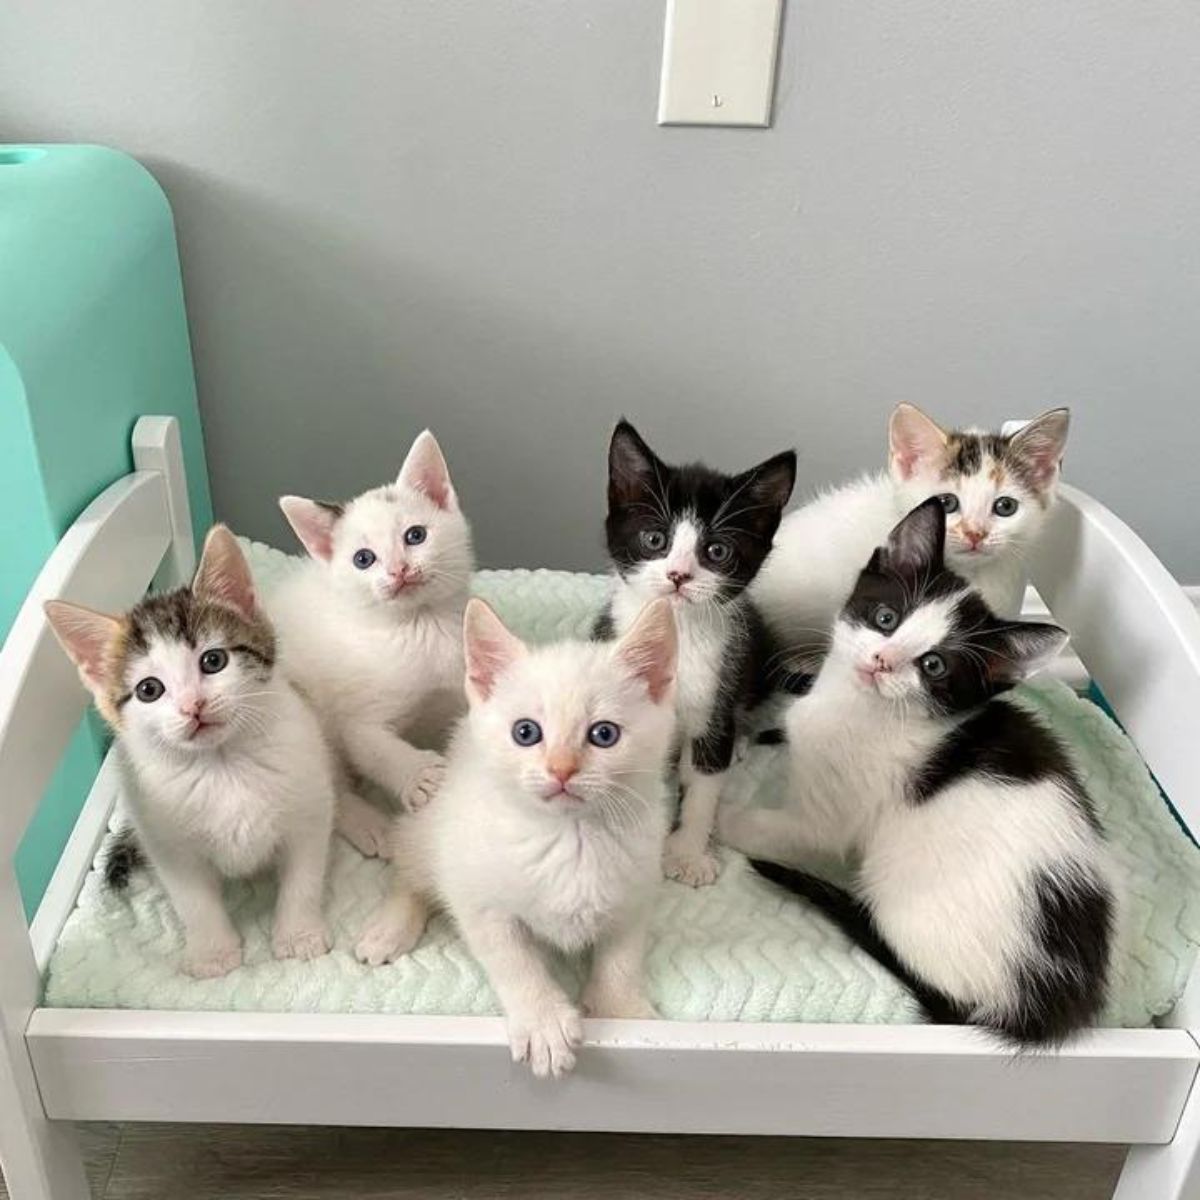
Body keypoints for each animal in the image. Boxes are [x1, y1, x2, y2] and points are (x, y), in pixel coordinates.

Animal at [44, 530, 336, 979]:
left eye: (213, 661)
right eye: (149, 689)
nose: (192, 706)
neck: (222, 764)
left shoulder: (308, 808)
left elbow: (303, 877)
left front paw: (298, 935)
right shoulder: (167, 841)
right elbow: (194, 901)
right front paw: (213, 953)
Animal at [271, 429, 472, 854]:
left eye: (416, 536)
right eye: (363, 559)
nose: (399, 570)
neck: (421, 627)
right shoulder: (356, 720)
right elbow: (376, 747)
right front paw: (421, 776)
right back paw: (368, 823)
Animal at [592, 417, 796, 888]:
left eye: (716, 551)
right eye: (655, 539)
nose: (679, 575)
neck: (676, 635)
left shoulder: (717, 689)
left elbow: (704, 783)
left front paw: (687, 853)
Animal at [715, 496, 1118, 1041]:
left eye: (934, 665)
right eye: (886, 617)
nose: (882, 660)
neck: (861, 708)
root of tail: (1037, 1010)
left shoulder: (825, 820)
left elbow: (782, 828)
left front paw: (713, 817)